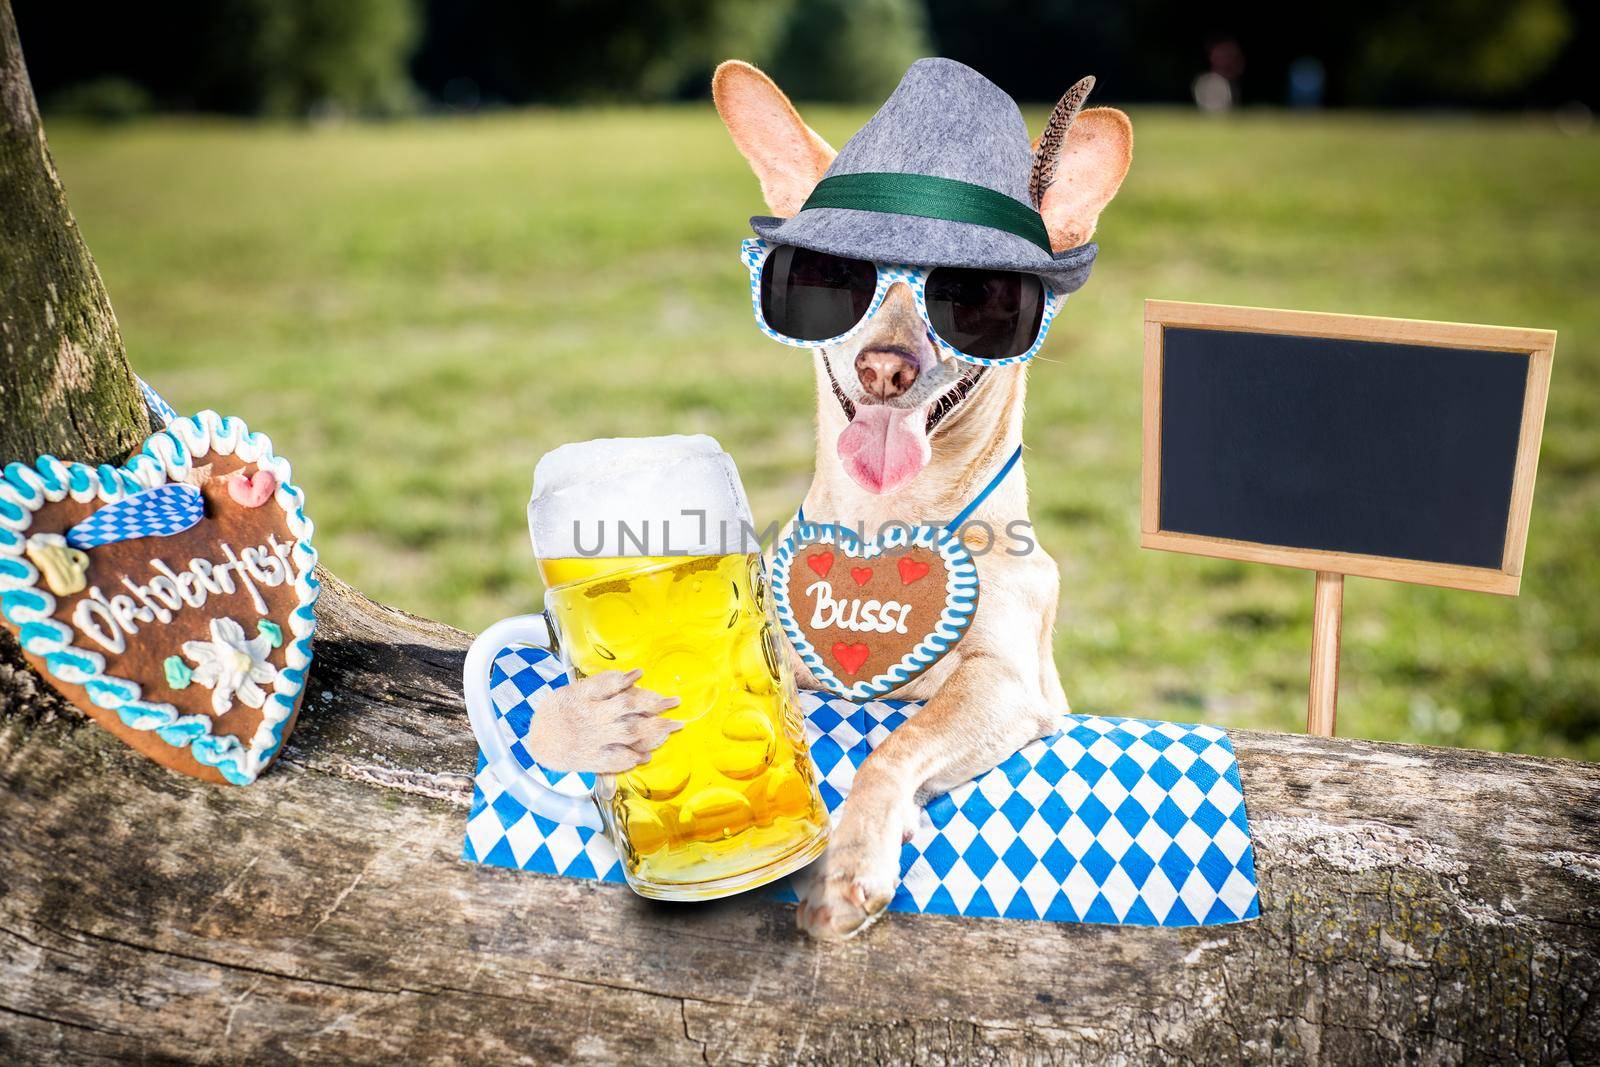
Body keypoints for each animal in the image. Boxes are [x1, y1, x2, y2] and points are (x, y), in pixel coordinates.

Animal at [518, 60, 1132, 940]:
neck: (884, 523)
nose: (885, 366)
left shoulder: (1009, 683)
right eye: (827, 279)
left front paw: (849, 858)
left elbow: (897, 742)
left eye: (977, 297)